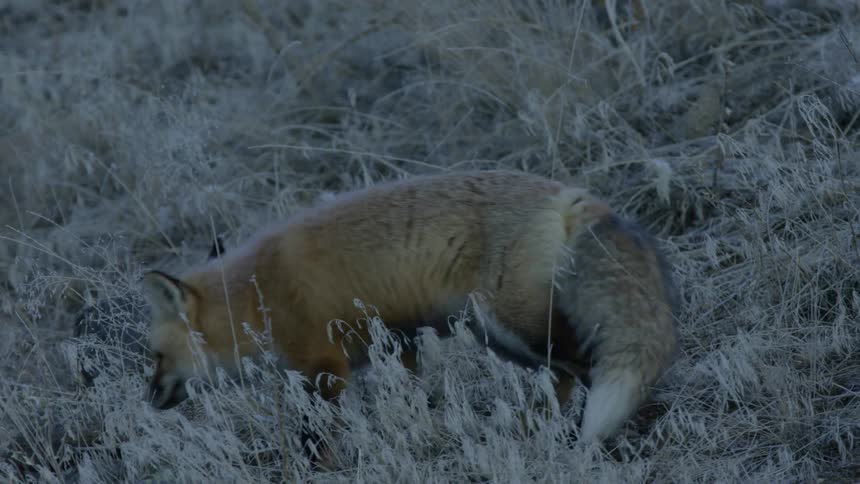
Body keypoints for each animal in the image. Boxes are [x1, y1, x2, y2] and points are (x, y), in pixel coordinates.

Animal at [141, 169, 679, 444]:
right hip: (498, 335)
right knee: (560, 377)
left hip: (510, 326)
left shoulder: (323, 368)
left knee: (584, 368)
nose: (147, 399)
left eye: (156, 356)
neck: (257, 299)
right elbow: (414, 397)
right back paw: (530, 429)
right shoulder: (400, 342)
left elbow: (317, 441)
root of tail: (568, 193)